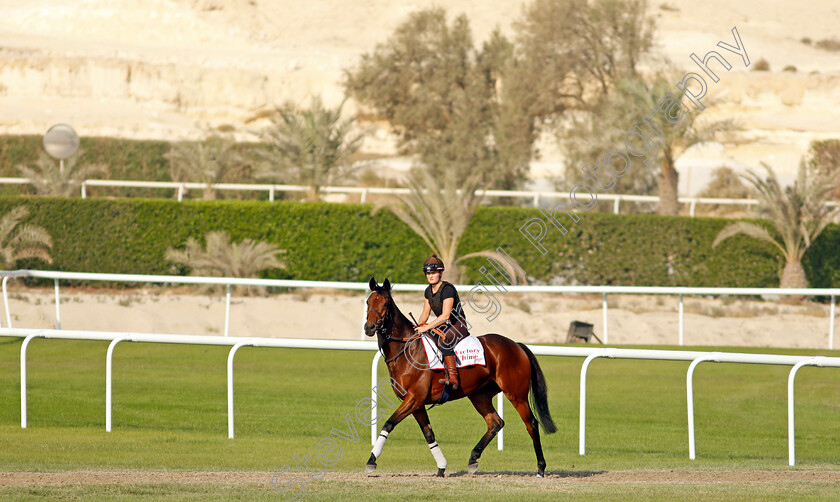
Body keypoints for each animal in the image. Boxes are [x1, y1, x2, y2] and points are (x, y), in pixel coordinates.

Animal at [362, 276, 556, 476]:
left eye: (385, 303)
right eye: (368, 301)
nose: (369, 327)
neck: (408, 350)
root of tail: (517, 345)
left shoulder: (414, 399)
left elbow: (389, 424)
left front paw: (371, 460)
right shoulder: (417, 404)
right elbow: (429, 434)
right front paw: (441, 466)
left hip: (516, 394)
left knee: (531, 424)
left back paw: (541, 467)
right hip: (479, 395)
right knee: (495, 423)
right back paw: (473, 458)